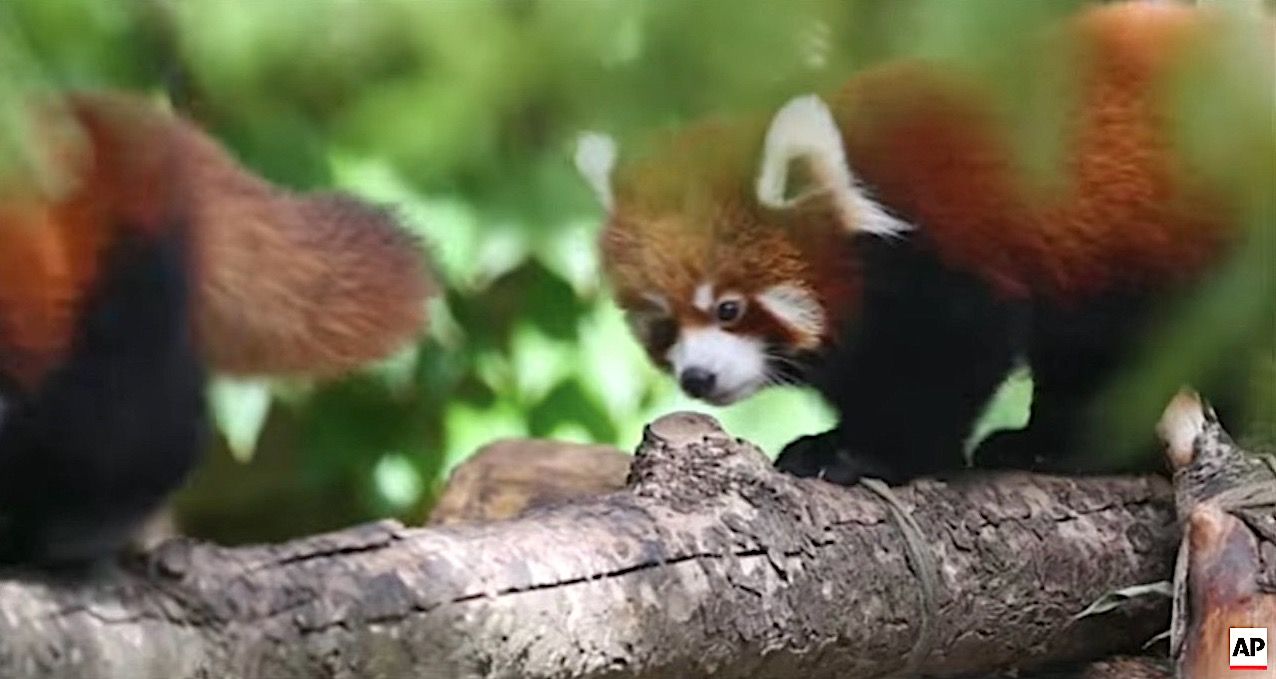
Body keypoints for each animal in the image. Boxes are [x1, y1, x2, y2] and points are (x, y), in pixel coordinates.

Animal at [581, 3, 1276, 482]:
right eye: (663, 324)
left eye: (729, 307)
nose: (697, 377)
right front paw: (836, 439)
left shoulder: (948, 261)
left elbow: (952, 358)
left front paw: (874, 454)